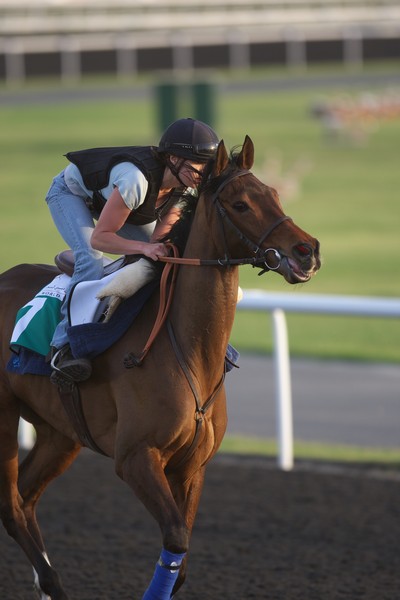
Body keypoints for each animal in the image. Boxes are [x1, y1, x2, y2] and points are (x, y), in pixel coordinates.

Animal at [0, 137, 320, 600]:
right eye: (240, 204)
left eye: (274, 195)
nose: (307, 250)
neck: (187, 349)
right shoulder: (135, 457)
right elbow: (176, 540)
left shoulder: (193, 465)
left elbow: (180, 561)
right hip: (6, 416)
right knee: (10, 505)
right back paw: (52, 583)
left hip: (61, 433)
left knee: (25, 499)